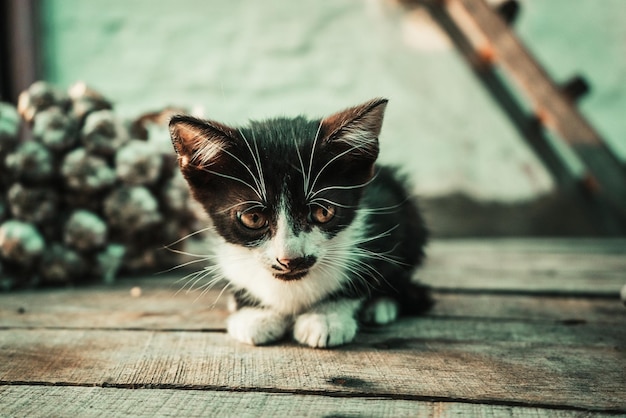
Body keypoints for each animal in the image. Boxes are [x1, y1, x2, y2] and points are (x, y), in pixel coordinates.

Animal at [168, 99, 432, 348]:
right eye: (253, 218)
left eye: (323, 212)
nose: (290, 260)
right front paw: (255, 314)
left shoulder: (385, 212)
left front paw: (326, 316)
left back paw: (381, 304)